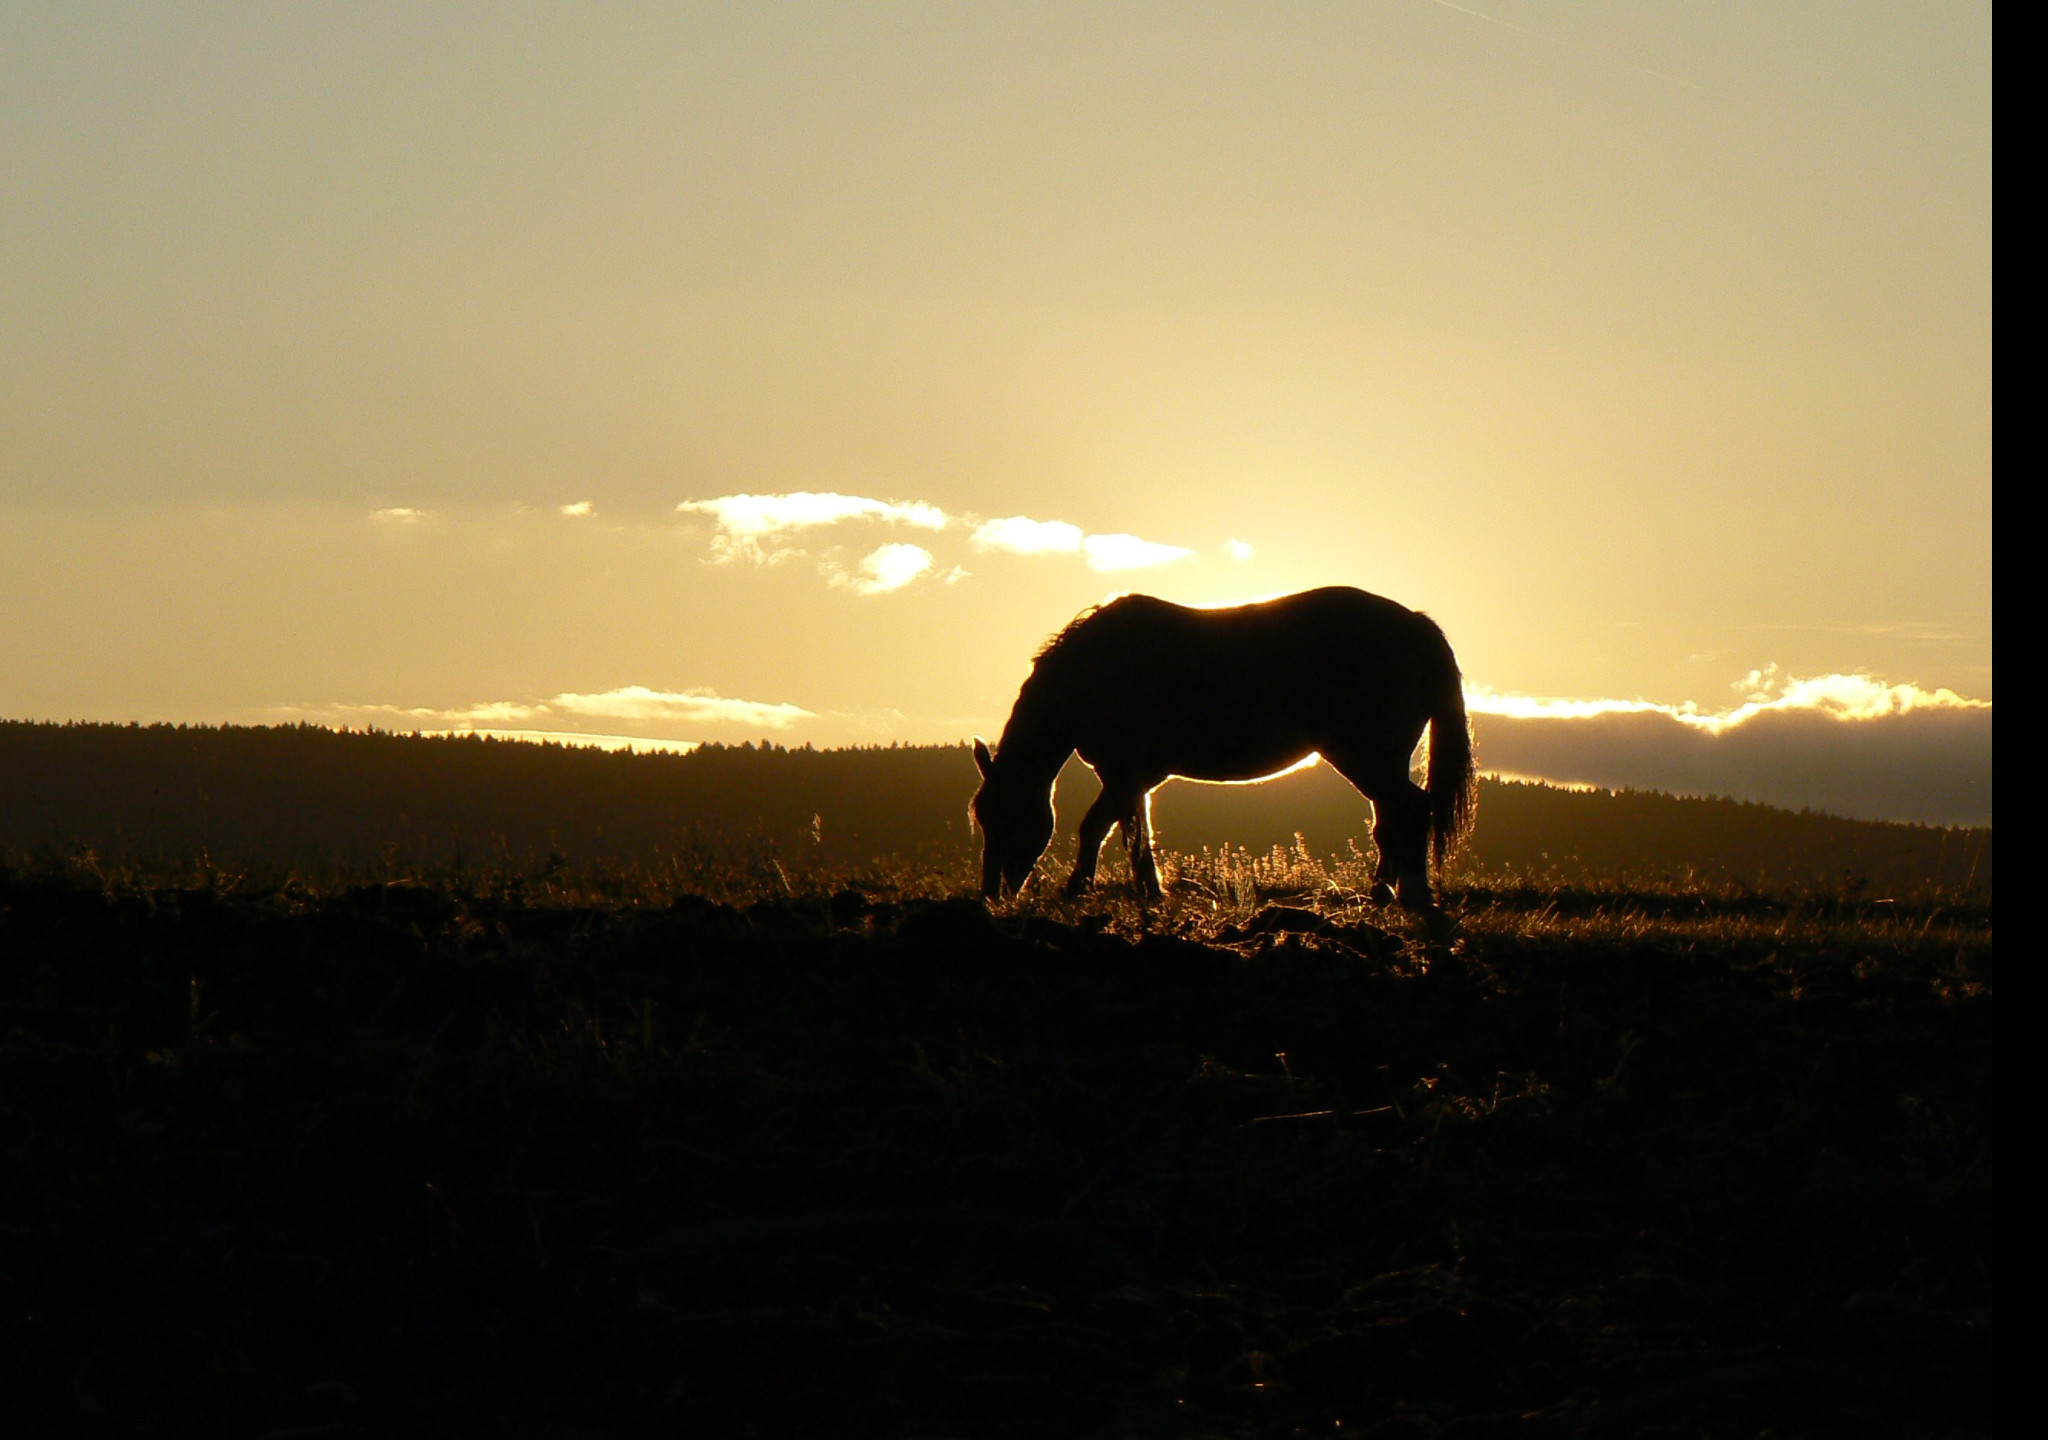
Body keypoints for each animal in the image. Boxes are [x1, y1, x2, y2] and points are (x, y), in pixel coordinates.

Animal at [970, 585, 1474, 913]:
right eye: (982, 816)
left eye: (1008, 815)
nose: (991, 894)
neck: (1094, 672)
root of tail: (1416, 625)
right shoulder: (1129, 777)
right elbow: (1136, 833)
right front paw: (1150, 892)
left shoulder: (1125, 773)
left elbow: (1095, 828)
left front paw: (1077, 889)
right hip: (1379, 759)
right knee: (1392, 819)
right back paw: (1382, 893)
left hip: (1367, 755)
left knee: (1411, 809)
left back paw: (1411, 895)